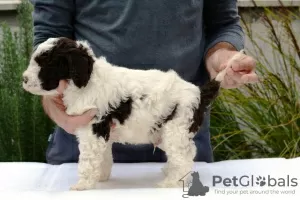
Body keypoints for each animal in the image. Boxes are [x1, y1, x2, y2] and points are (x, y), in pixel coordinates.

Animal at [22, 37, 240, 189]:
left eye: (46, 63)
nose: (24, 79)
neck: (86, 80)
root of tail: (198, 92)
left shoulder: (93, 130)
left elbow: (87, 161)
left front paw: (82, 185)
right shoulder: (103, 133)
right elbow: (103, 157)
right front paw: (101, 177)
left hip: (176, 129)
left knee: (184, 158)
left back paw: (171, 182)